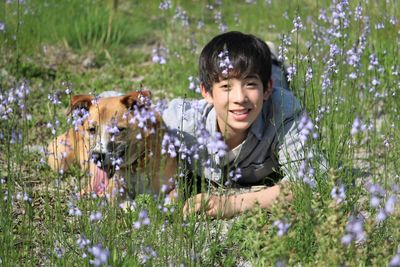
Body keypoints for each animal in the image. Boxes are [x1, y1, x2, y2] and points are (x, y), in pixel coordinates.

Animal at [47, 91, 177, 200]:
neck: (135, 166)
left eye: (118, 130)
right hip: (59, 160)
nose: (96, 156)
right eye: (92, 129)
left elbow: (174, 196)